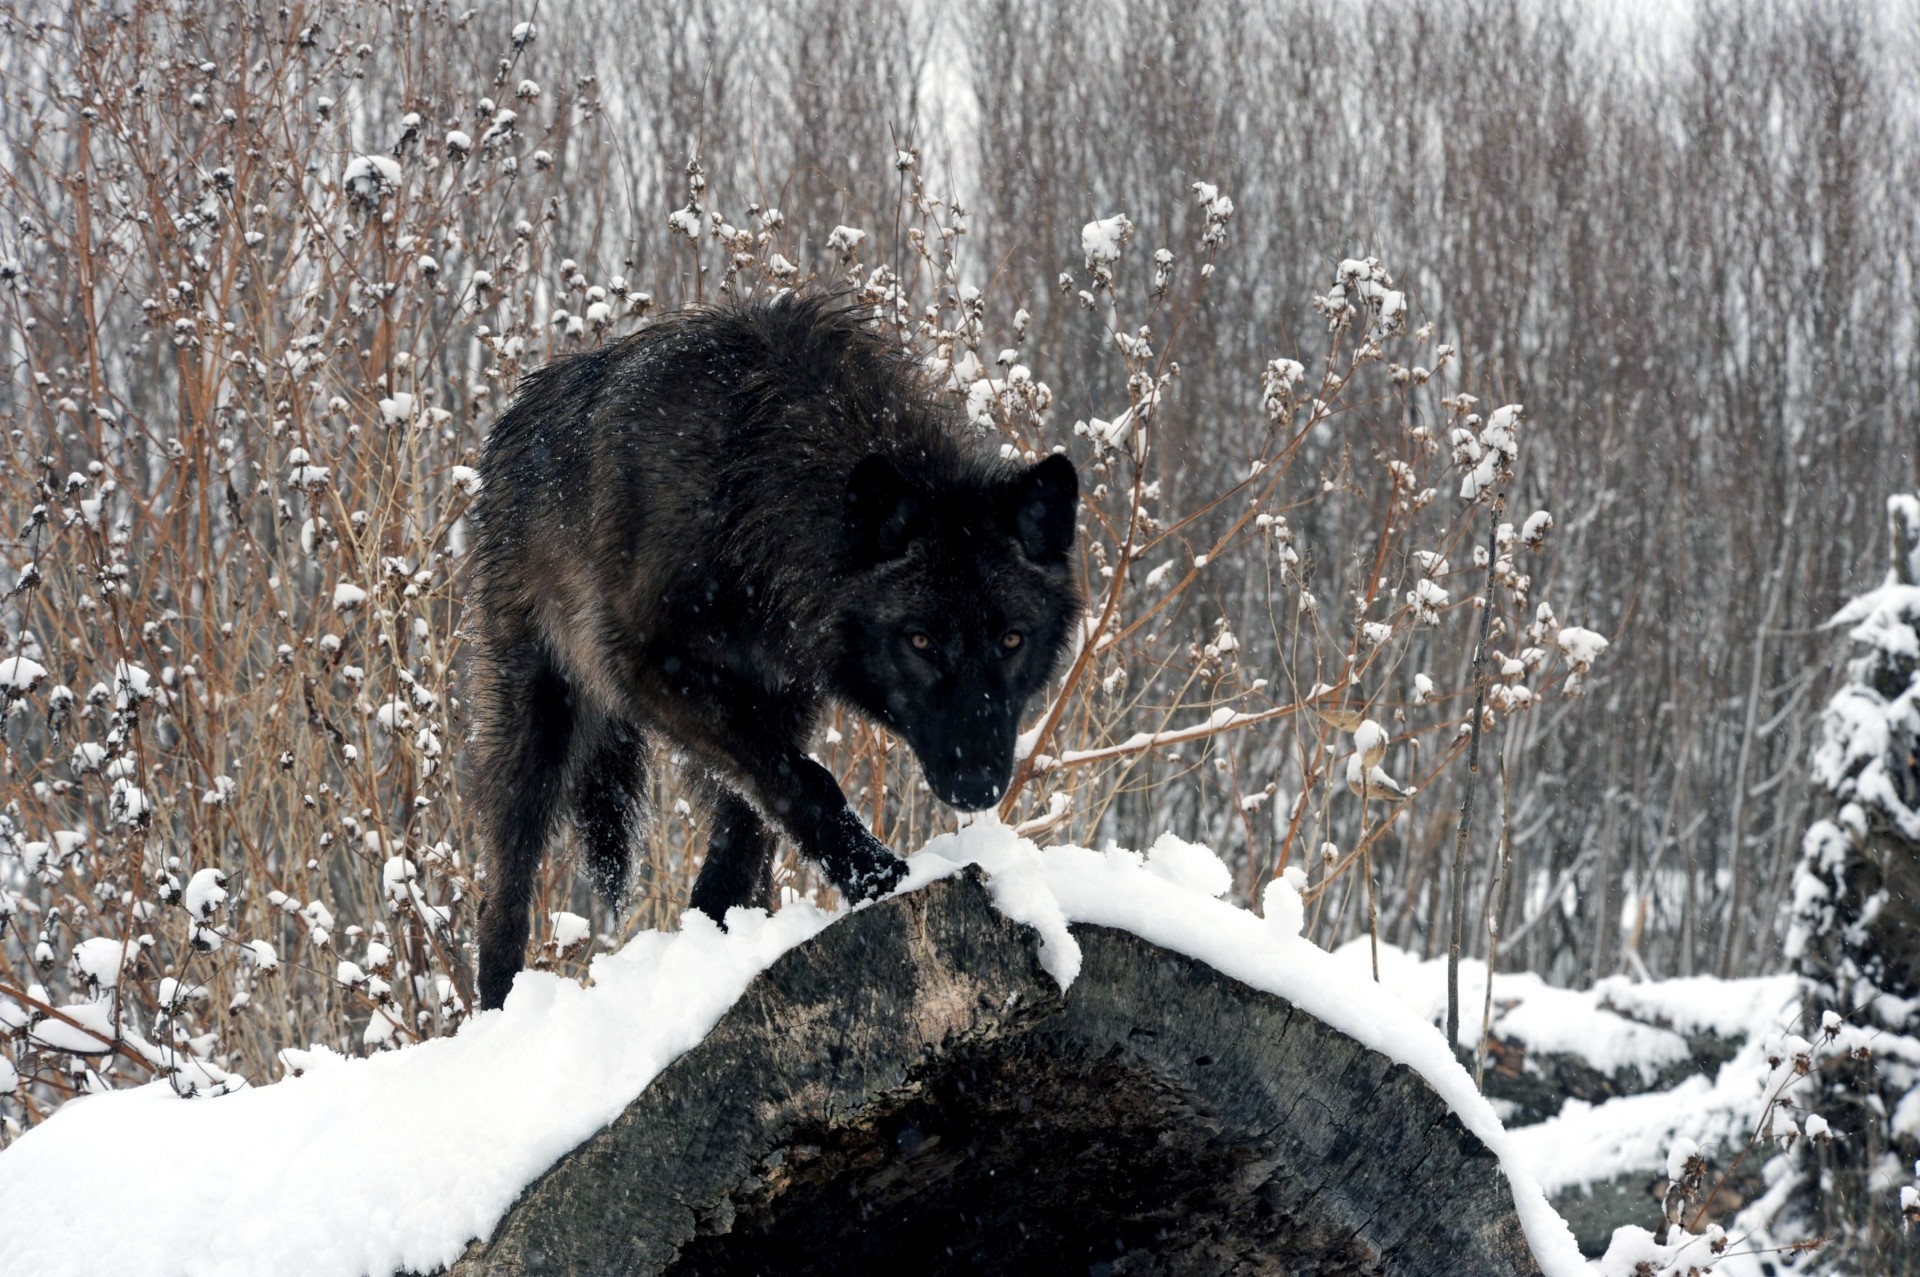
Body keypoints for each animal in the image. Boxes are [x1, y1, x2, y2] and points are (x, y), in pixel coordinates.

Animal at [469, 292, 1082, 1010]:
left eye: (1011, 640)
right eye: (921, 640)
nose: (977, 782)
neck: (753, 480)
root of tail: (518, 414)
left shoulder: (783, 698)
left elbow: (752, 828)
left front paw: (720, 945)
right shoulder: (652, 670)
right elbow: (805, 781)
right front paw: (878, 876)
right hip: (539, 725)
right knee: (505, 885)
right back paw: (500, 1010)